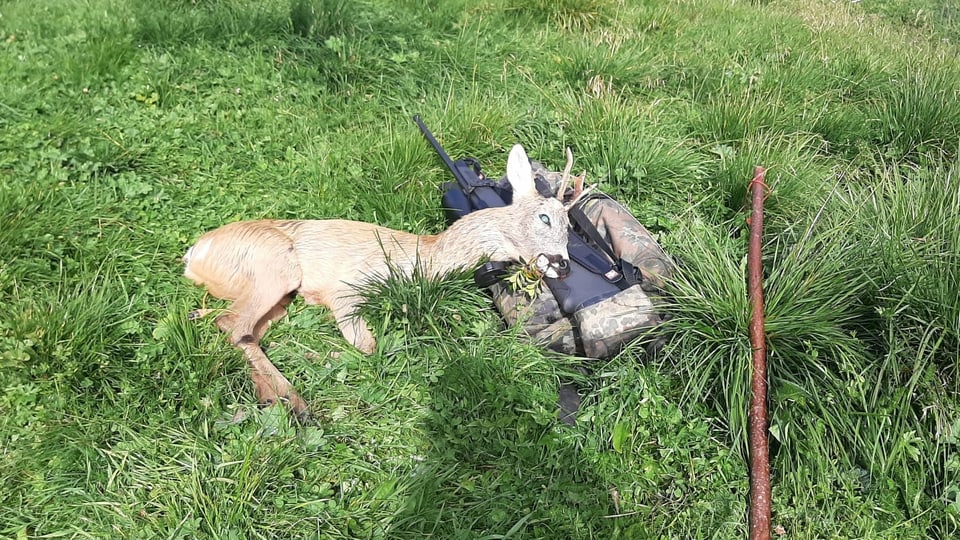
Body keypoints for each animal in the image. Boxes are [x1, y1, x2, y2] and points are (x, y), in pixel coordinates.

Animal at [187, 144, 572, 418]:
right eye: (545, 218)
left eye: (569, 227)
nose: (564, 264)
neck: (426, 255)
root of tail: (194, 254)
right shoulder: (347, 288)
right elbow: (367, 345)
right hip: (276, 264)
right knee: (235, 325)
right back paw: (296, 402)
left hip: (279, 294)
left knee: (239, 326)